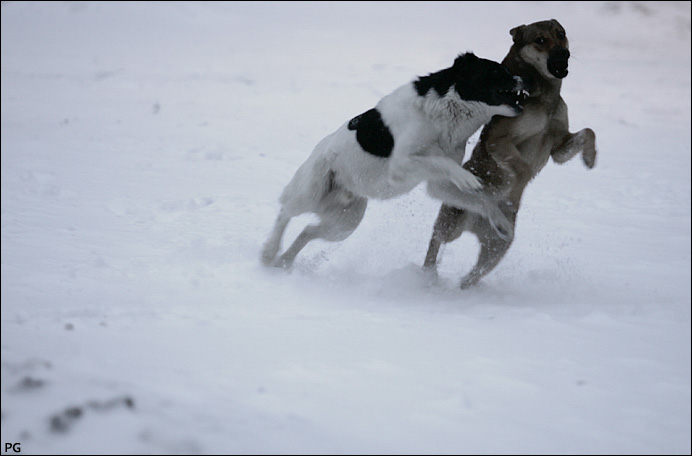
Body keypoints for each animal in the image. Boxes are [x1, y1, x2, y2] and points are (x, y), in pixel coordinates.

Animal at [262, 53, 528, 268]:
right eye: (498, 72)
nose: (524, 79)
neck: (446, 109)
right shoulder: (402, 165)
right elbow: (444, 164)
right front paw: (466, 177)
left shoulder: (438, 185)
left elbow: (482, 199)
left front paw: (502, 224)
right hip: (311, 191)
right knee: (285, 211)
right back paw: (269, 253)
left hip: (345, 223)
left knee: (307, 231)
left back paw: (284, 262)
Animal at [418, 20, 596, 288]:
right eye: (540, 40)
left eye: (561, 34)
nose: (563, 54)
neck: (545, 97)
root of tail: (478, 222)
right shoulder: (499, 141)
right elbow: (522, 169)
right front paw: (512, 196)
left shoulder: (557, 146)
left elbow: (588, 132)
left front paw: (590, 158)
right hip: (453, 223)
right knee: (435, 241)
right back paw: (428, 275)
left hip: (498, 247)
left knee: (473, 274)